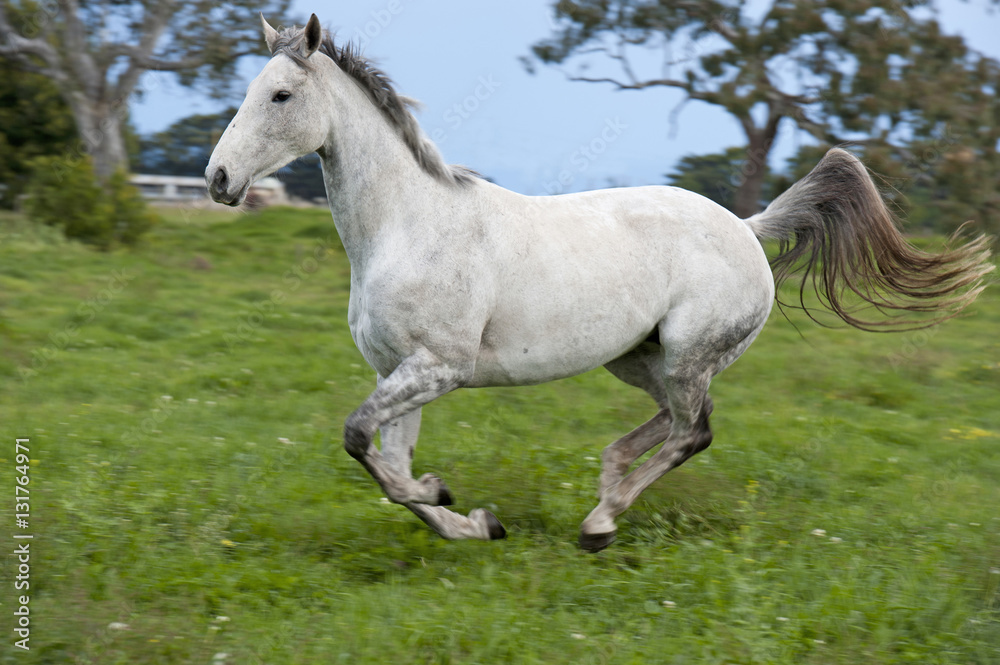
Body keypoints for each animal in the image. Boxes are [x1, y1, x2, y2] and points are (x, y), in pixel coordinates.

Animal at [205, 14, 992, 548]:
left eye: (279, 95)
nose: (217, 178)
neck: (409, 226)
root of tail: (747, 226)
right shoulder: (397, 369)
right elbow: (384, 459)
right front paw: (472, 521)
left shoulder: (438, 367)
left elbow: (363, 444)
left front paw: (450, 496)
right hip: (640, 358)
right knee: (671, 423)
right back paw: (607, 483)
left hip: (688, 353)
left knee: (694, 430)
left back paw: (601, 521)